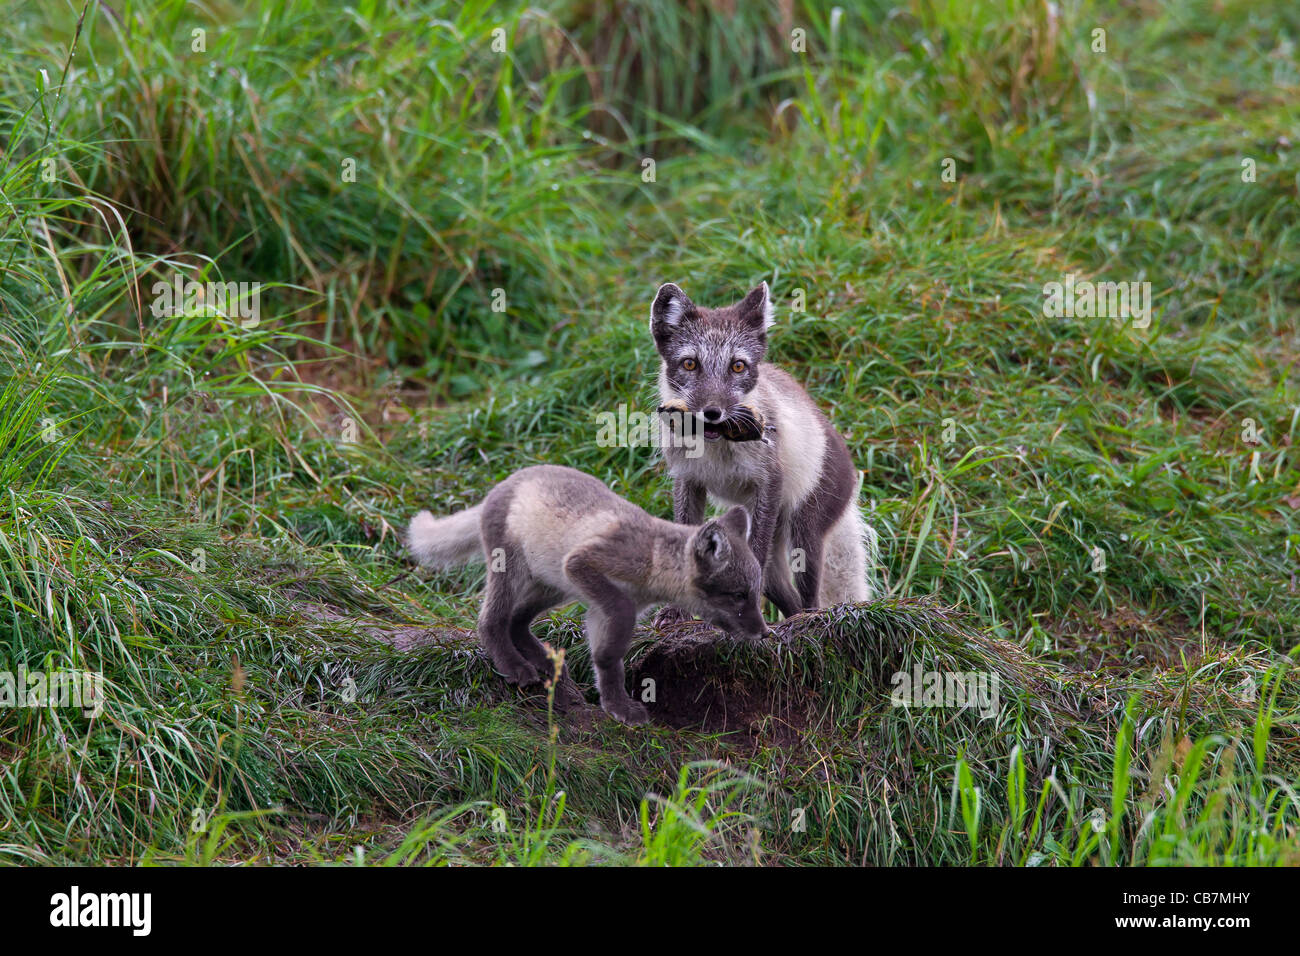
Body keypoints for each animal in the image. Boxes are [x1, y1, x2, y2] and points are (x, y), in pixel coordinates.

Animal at [410, 465, 764, 723]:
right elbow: (617, 627)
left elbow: (607, 663)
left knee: (517, 621)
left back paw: (546, 663)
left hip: (553, 587)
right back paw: (515, 667)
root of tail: (499, 487)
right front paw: (618, 699)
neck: (652, 561)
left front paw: (616, 705)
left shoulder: (596, 608)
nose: (764, 632)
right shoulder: (585, 566)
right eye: (738, 595)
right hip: (514, 572)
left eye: (756, 593)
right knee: (490, 621)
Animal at [647, 278, 873, 621]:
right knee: (786, 596)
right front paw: (676, 612)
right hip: (769, 555)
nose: (712, 412)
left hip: (804, 534)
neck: (718, 449)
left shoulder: (770, 479)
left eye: (738, 366)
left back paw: (809, 619)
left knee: (809, 596)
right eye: (690, 363)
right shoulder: (688, 480)